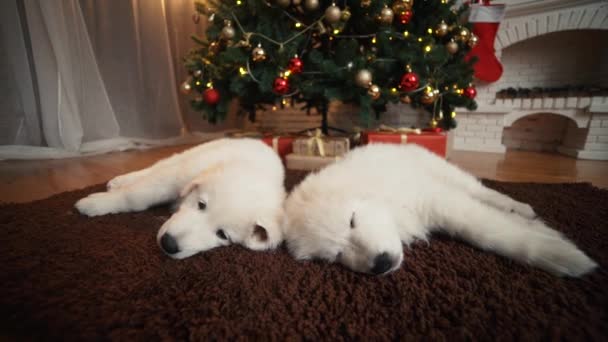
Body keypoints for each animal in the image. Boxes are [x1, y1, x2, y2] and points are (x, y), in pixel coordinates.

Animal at [76, 138, 284, 258]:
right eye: (201, 204)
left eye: (222, 234)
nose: (169, 244)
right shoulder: (176, 177)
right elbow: (136, 196)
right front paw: (94, 204)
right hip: (190, 156)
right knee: (155, 167)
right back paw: (119, 181)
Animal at [284, 143, 600, 276]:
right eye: (335, 256)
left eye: (352, 220)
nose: (380, 264)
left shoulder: (436, 198)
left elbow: (487, 230)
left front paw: (564, 257)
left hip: (444, 171)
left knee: (481, 191)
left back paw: (517, 206)